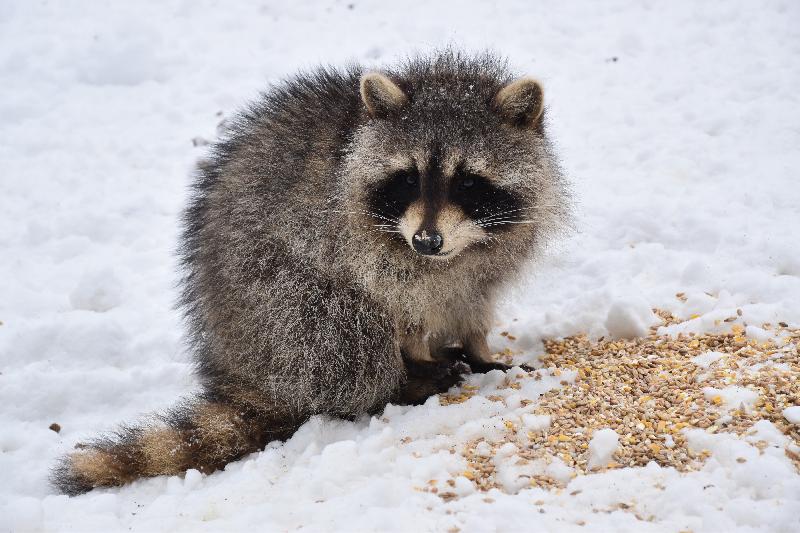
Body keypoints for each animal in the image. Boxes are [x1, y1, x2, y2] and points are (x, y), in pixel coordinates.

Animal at [53, 51, 568, 494]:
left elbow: (472, 299)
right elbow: (399, 310)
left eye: (468, 182)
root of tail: (243, 370)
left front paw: (481, 349)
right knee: (339, 329)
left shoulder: (486, 258)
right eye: (408, 178)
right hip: (277, 307)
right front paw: (420, 357)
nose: (426, 241)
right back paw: (405, 380)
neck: (450, 255)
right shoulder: (354, 243)